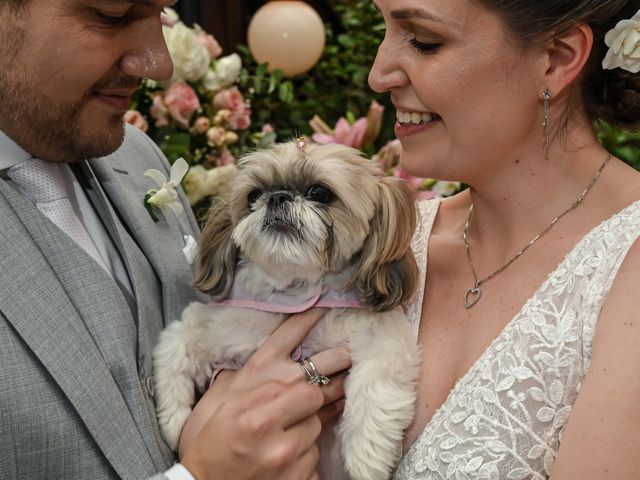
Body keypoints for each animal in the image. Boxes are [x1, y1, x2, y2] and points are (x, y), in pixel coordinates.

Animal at [153, 140, 422, 480]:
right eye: (253, 195)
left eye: (320, 192)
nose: (277, 197)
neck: (296, 291)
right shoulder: (217, 326)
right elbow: (175, 344)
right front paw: (173, 421)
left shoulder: (385, 337)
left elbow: (375, 382)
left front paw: (366, 458)